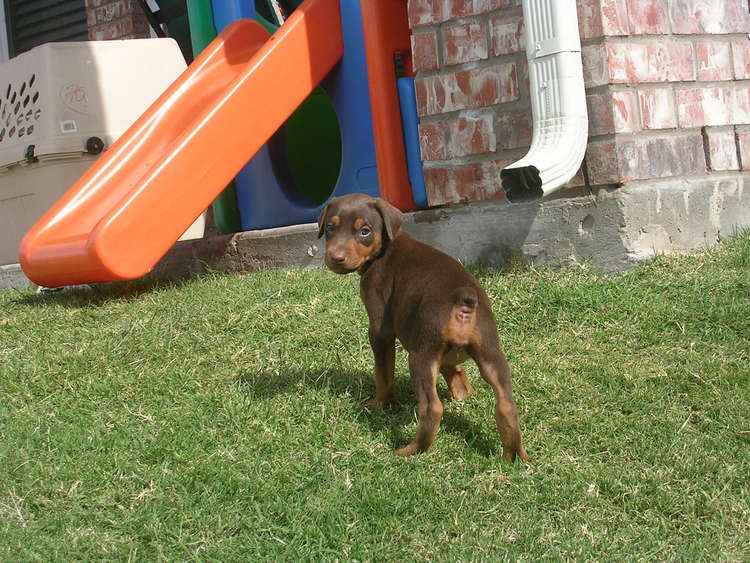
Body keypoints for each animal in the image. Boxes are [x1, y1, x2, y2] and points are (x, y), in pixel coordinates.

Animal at [320, 194, 532, 462]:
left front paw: (380, 403)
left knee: (432, 408)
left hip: (421, 354)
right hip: (490, 352)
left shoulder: (380, 329)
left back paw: (411, 450)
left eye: (364, 231)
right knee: (506, 405)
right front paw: (461, 393)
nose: (335, 258)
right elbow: (452, 367)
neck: (385, 249)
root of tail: (464, 301)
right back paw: (515, 455)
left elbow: (383, 373)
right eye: (330, 227)